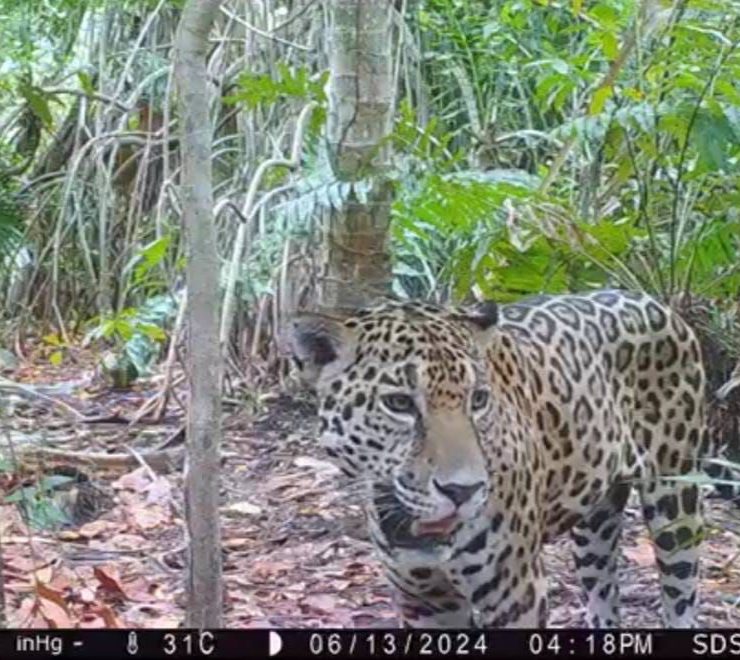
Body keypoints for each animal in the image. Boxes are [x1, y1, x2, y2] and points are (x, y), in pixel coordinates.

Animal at [289, 289, 709, 628]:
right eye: (399, 403)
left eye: (478, 399)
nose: (463, 491)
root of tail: (654, 302)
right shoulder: (422, 601)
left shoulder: (515, 593)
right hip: (595, 523)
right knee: (604, 600)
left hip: (675, 502)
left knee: (680, 598)